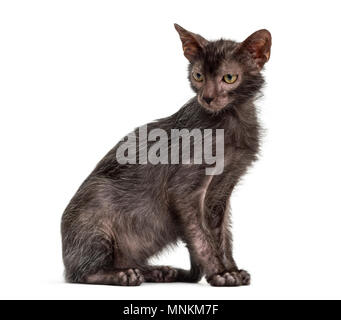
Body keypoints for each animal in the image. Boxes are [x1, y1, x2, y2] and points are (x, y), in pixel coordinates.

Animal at [59, 23, 270, 286]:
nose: (207, 98)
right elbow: (201, 237)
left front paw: (231, 269)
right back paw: (124, 275)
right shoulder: (184, 190)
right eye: (198, 76)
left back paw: (160, 271)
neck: (232, 120)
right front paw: (220, 273)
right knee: (81, 274)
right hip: (96, 212)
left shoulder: (221, 192)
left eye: (229, 78)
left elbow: (222, 235)